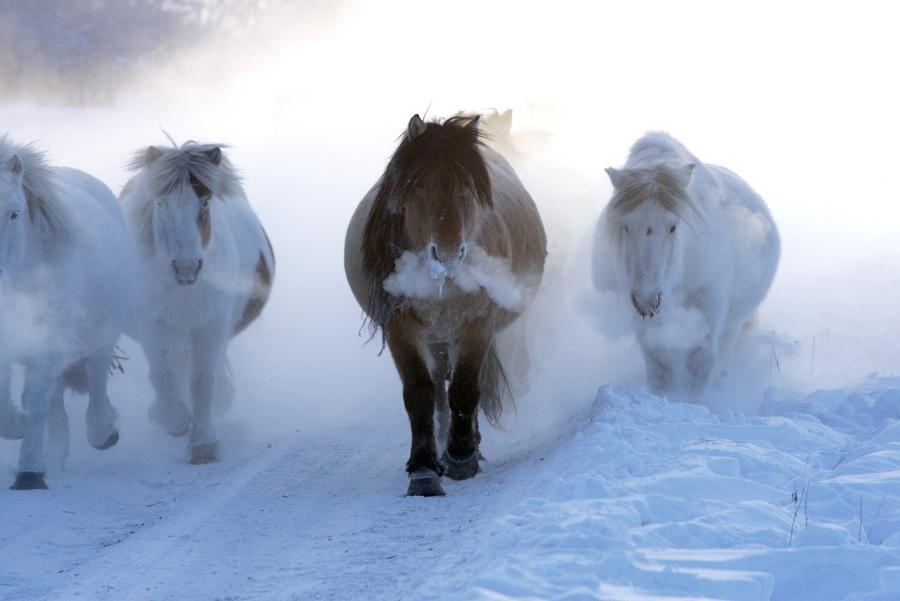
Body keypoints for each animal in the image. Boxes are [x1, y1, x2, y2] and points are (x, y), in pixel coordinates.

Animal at [0, 136, 133, 490]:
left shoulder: (46, 346)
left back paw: (103, 432)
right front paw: (18, 429)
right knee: (56, 403)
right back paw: (56, 454)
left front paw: (29, 473)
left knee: (96, 384)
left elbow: (34, 403)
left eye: (14, 213)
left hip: (101, 336)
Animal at [120, 140, 274, 464]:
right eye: (160, 204)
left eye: (204, 202)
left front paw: (203, 443)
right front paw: (174, 420)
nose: (186, 267)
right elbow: (163, 373)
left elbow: (203, 379)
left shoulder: (213, 322)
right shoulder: (151, 320)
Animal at [344, 114, 547, 496]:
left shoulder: (476, 324)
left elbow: (466, 388)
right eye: (418, 185)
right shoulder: (400, 327)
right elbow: (420, 393)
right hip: (436, 336)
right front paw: (424, 471)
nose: (450, 255)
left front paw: (461, 458)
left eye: (467, 186)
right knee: (439, 386)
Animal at [592, 132, 780, 396]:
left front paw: (692, 401)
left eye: (673, 226)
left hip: (734, 322)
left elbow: (700, 361)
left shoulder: (708, 303)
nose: (647, 299)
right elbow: (658, 362)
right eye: (626, 225)